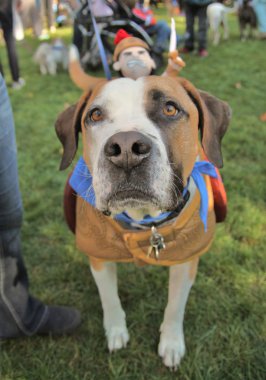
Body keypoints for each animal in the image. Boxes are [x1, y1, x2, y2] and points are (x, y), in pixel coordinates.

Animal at [55, 75, 231, 370]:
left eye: (170, 109)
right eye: (95, 115)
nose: (126, 149)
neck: (145, 222)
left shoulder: (186, 262)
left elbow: (175, 306)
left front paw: (171, 343)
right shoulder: (99, 258)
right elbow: (109, 298)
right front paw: (116, 331)